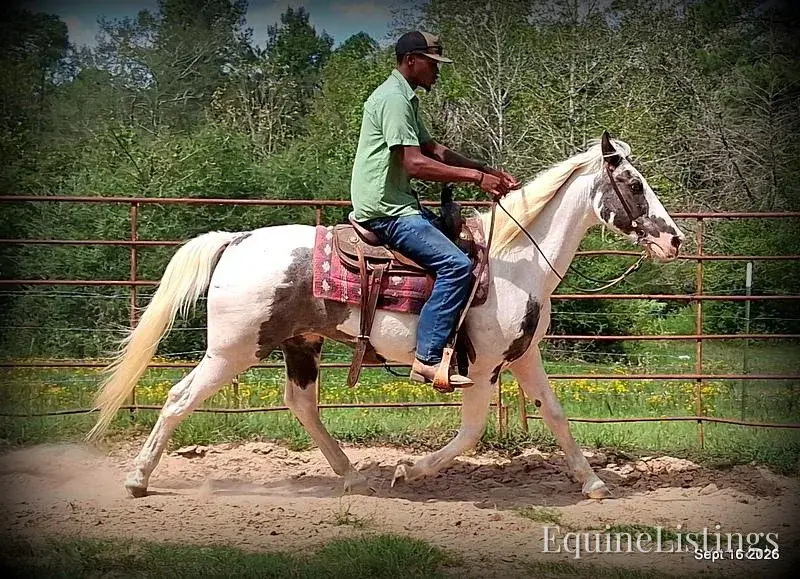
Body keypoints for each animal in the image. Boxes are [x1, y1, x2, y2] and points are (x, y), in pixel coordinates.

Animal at [86, 131, 684, 500]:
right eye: (634, 184)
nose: (675, 239)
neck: (514, 261)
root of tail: (237, 240)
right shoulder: (481, 366)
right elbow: (471, 431)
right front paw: (409, 469)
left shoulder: (523, 356)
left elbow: (556, 416)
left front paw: (593, 484)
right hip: (233, 350)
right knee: (179, 397)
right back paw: (137, 479)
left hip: (300, 344)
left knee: (301, 404)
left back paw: (351, 477)